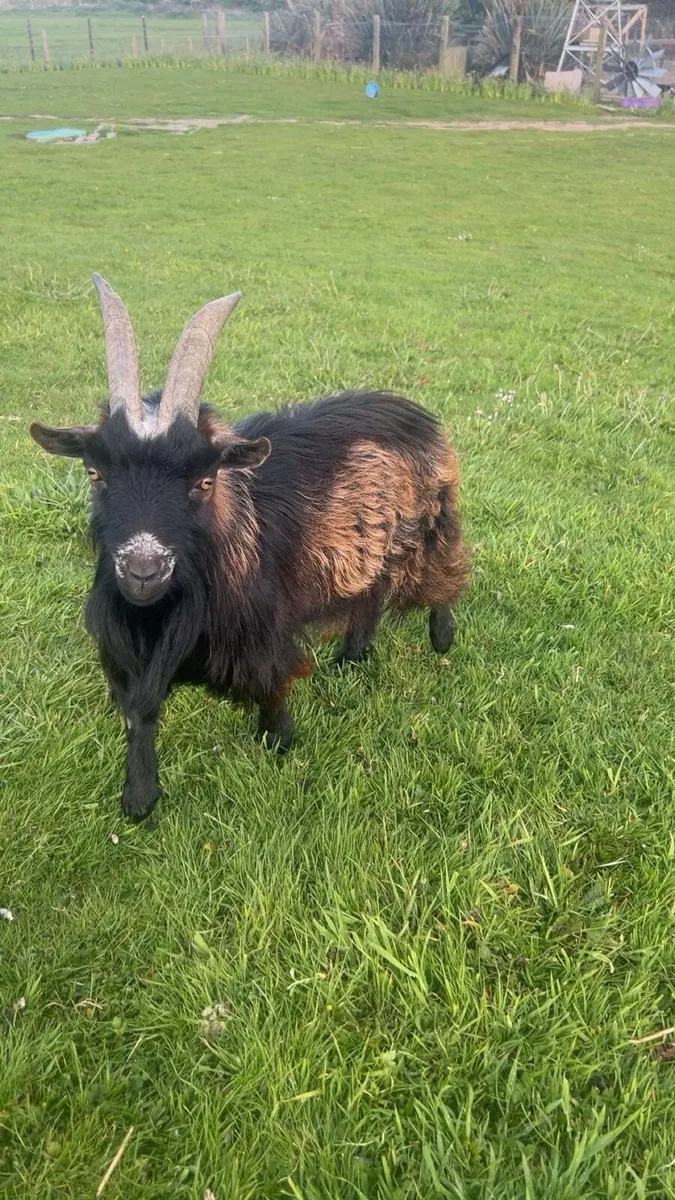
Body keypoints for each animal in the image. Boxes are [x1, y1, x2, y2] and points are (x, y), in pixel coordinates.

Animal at [30, 276, 469, 821]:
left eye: (203, 481)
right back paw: (352, 656)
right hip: (367, 543)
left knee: (445, 573)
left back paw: (441, 638)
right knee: (368, 593)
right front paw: (139, 799)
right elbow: (140, 713)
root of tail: (415, 412)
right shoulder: (131, 647)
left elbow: (272, 679)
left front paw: (277, 739)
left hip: (430, 524)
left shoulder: (264, 630)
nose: (143, 570)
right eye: (95, 473)